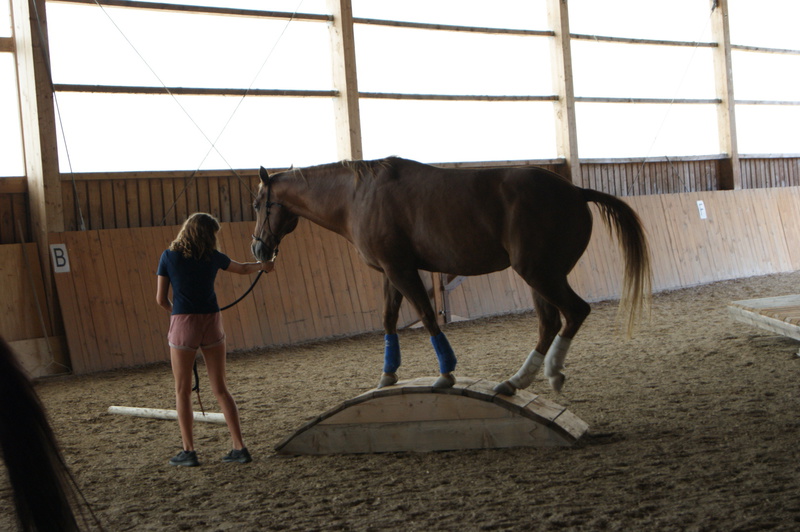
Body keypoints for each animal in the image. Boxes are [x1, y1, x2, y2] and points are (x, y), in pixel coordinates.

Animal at [251, 157, 651, 394]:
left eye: (257, 205)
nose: (258, 250)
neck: (357, 196)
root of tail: (576, 191)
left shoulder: (402, 270)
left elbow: (428, 316)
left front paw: (446, 373)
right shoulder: (390, 272)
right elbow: (389, 319)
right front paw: (387, 374)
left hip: (540, 273)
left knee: (575, 312)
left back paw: (551, 373)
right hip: (541, 277)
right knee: (551, 321)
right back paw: (516, 381)